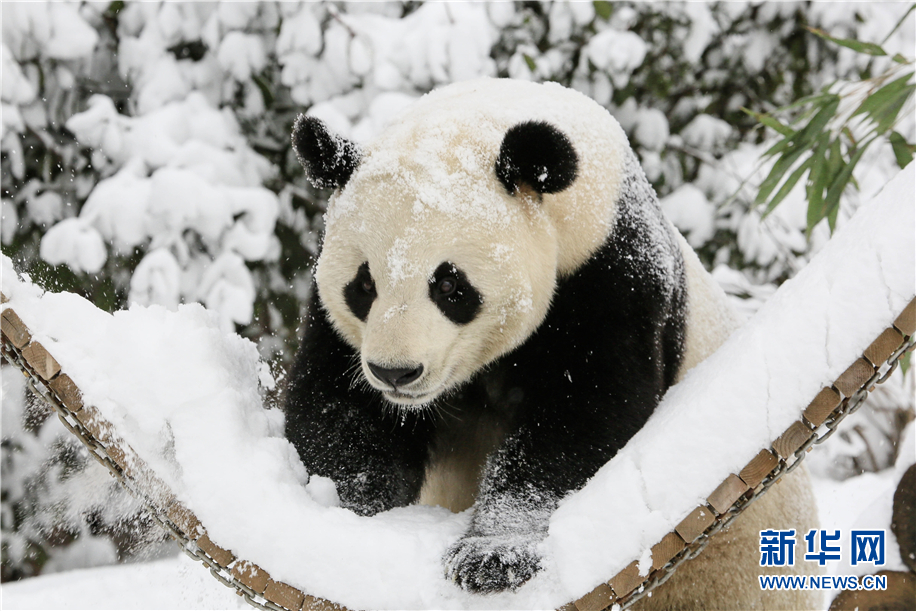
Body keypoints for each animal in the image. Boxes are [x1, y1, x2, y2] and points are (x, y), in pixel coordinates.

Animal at [282, 77, 820, 608]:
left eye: (450, 286)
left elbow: (582, 417)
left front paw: (491, 559)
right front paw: (357, 513)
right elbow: (339, 407)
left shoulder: (610, 274)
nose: (396, 372)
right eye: (363, 285)